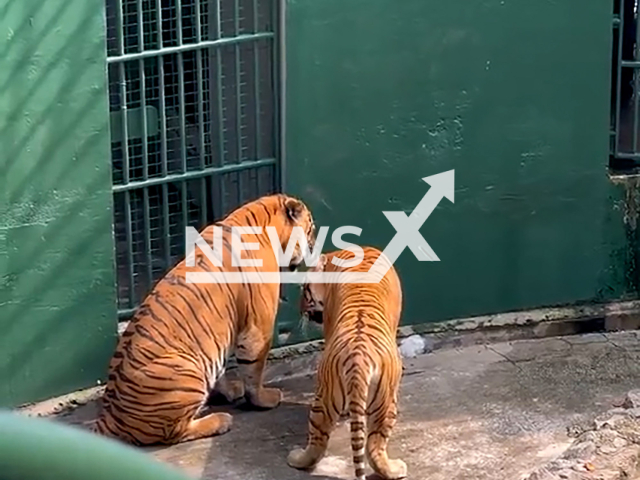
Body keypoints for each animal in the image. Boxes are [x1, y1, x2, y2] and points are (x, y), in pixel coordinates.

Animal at [93, 192, 318, 446]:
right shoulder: (258, 329)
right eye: (310, 228)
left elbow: (220, 370)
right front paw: (263, 399)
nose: (313, 245)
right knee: (175, 432)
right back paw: (220, 420)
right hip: (187, 373)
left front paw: (231, 391)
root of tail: (107, 418)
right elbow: (253, 371)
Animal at [288, 248, 408, 480]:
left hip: (331, 399)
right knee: (371, 445)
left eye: (305, 290)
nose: (299, 310)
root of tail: (358, 360)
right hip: (384, 403)